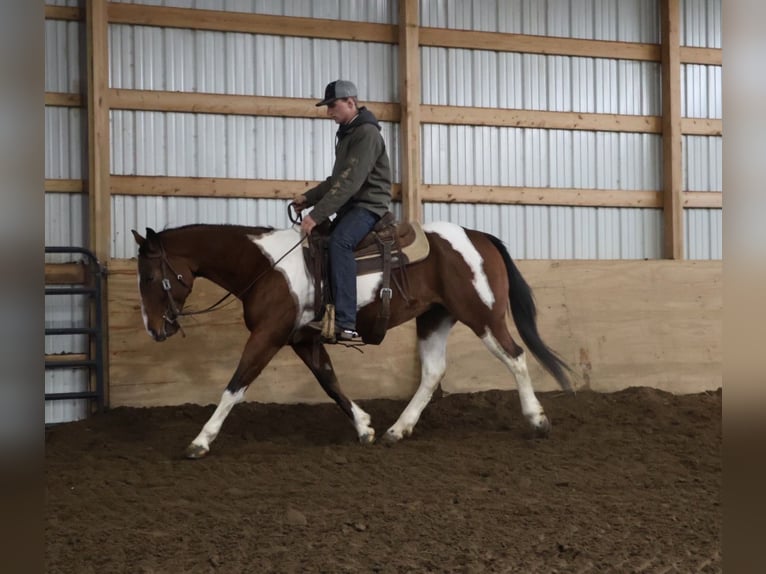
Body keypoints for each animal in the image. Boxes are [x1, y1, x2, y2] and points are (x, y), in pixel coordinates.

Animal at [131, 220, 574, 458]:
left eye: (150, 276)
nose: (154, 329)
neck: (268, 268)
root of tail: (478, 236)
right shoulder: (301, 339)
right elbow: (330, 382)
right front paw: (364, 427)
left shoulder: (268, 335)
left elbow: (235, 385)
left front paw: (200, 441)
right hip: (435, 318)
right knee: (432, 372)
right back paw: (398, 430)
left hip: (482, 315)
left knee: (515, 356)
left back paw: (537, 420)